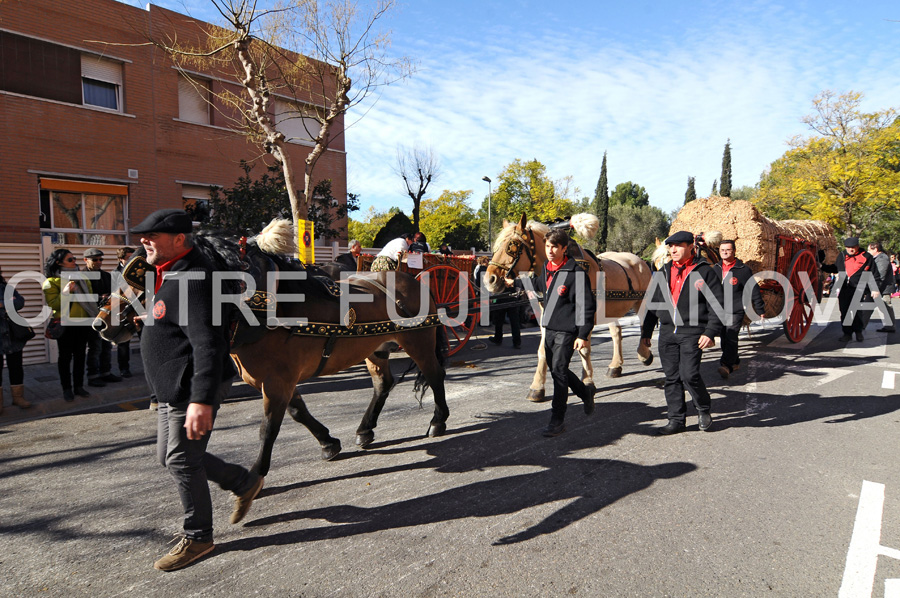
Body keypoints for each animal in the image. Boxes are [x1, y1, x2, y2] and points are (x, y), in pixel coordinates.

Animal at [94, 220, 446, 478]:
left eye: (140, 276)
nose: (101, 324)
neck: (258, 305)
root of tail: (411, 280)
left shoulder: (278, 380)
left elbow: (270, 427)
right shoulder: (278, 379)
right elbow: (297, 412)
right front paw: (328, 443)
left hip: (419, 341)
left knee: (434, 374)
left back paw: (438, 421)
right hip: (375, 348)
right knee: (383, 384)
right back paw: (365, 429)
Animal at [486, 213, 652, 400]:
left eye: (512, 245)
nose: (489, 279)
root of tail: (641, 262)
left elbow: (583, 349)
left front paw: (587, 382)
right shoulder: (546, 318)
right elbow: (543, 351)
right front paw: (537, 387)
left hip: (641, 302)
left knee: (645, 324)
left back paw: (644, 354)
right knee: (617, 333)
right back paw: (615, 366)